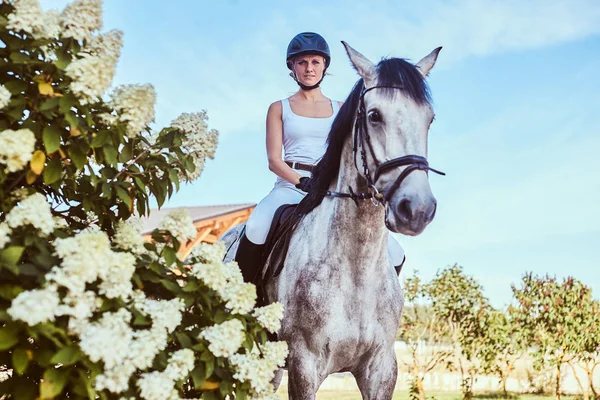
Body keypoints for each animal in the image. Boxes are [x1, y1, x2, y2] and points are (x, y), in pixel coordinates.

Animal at [223, 42, 442, 398]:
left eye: (429, 119)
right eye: (374, 115)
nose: (418, 209)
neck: (357, 268)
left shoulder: (382, 368)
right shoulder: (304, 365)